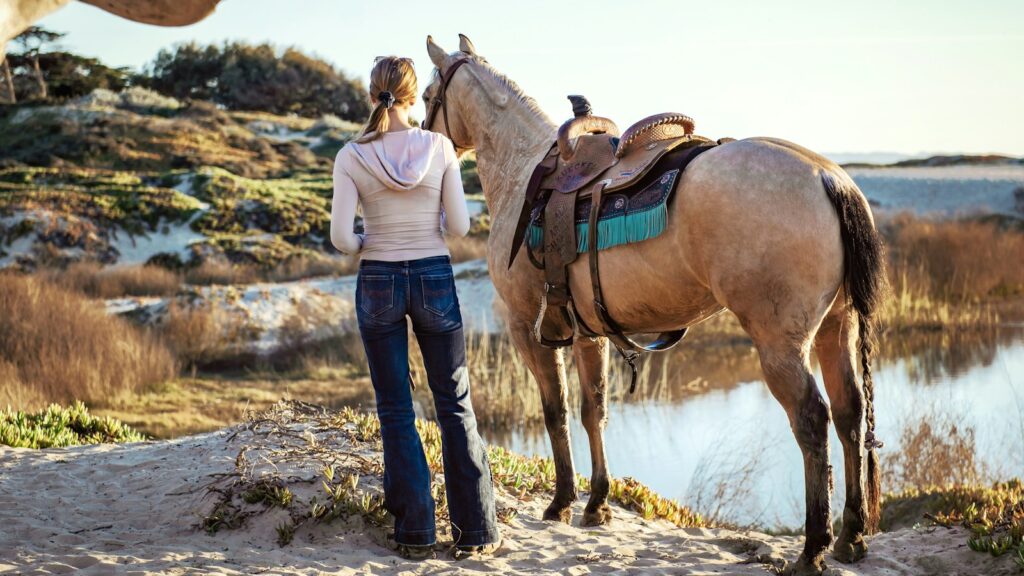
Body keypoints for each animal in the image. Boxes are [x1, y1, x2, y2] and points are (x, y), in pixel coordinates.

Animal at [421, 34, 886, 576]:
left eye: (429, 93)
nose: (424, 138)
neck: (524, 172)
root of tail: (830, 179)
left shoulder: (527, 329)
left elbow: (555, 412)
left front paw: (561, 503)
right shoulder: (588, 334)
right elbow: (593, 410)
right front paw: (597, 503)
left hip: (781, 346)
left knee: (813, 421)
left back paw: (812, 549)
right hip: (837, 328)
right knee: (851, 413)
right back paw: (850, 536)